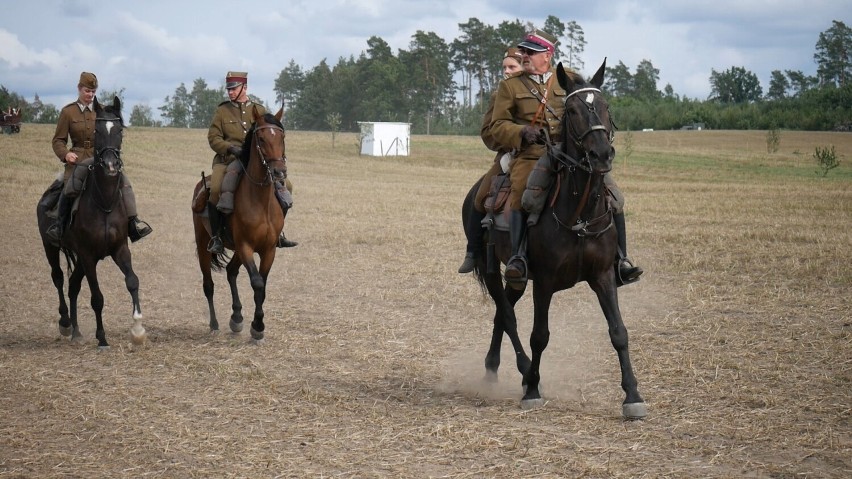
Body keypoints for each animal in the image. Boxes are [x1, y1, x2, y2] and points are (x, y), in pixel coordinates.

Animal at [35, 96, 146, 348]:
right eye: (97, 130)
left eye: (119, 130)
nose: (111, 165)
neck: (104, 201)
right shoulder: (87, 255)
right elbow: (97, 297)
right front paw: (102, 338)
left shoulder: (119, 249)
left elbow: (132, 281)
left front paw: (137, 329)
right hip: (50, 247)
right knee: (58, 278)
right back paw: (66, 323)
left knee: (73, 285)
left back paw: (76, 331)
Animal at [192, 107, 286, 344]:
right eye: (261, 139)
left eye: (282, 137)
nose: (279, 172)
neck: (260, 201)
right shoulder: (245, 247)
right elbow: (257, 283)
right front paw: (258, 326)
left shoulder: (268, 250)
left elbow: (262, 285)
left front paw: (255, 325)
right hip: (203, 244)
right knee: (208, 285)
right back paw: (215, 324)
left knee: (231, 272)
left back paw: (236, 317)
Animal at [466, 61, 644, 420]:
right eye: (572, 110)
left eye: (605, 106)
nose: (601, 154)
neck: (579, 213)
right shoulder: (545, 282)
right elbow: (540, 335)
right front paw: (533, 390)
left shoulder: (604, 276)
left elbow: (618, 332)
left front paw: (632, 396)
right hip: (492, 269)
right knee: (507, 316)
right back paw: (523, 372)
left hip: (517, 280)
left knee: (502, 312)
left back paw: (493, 367)